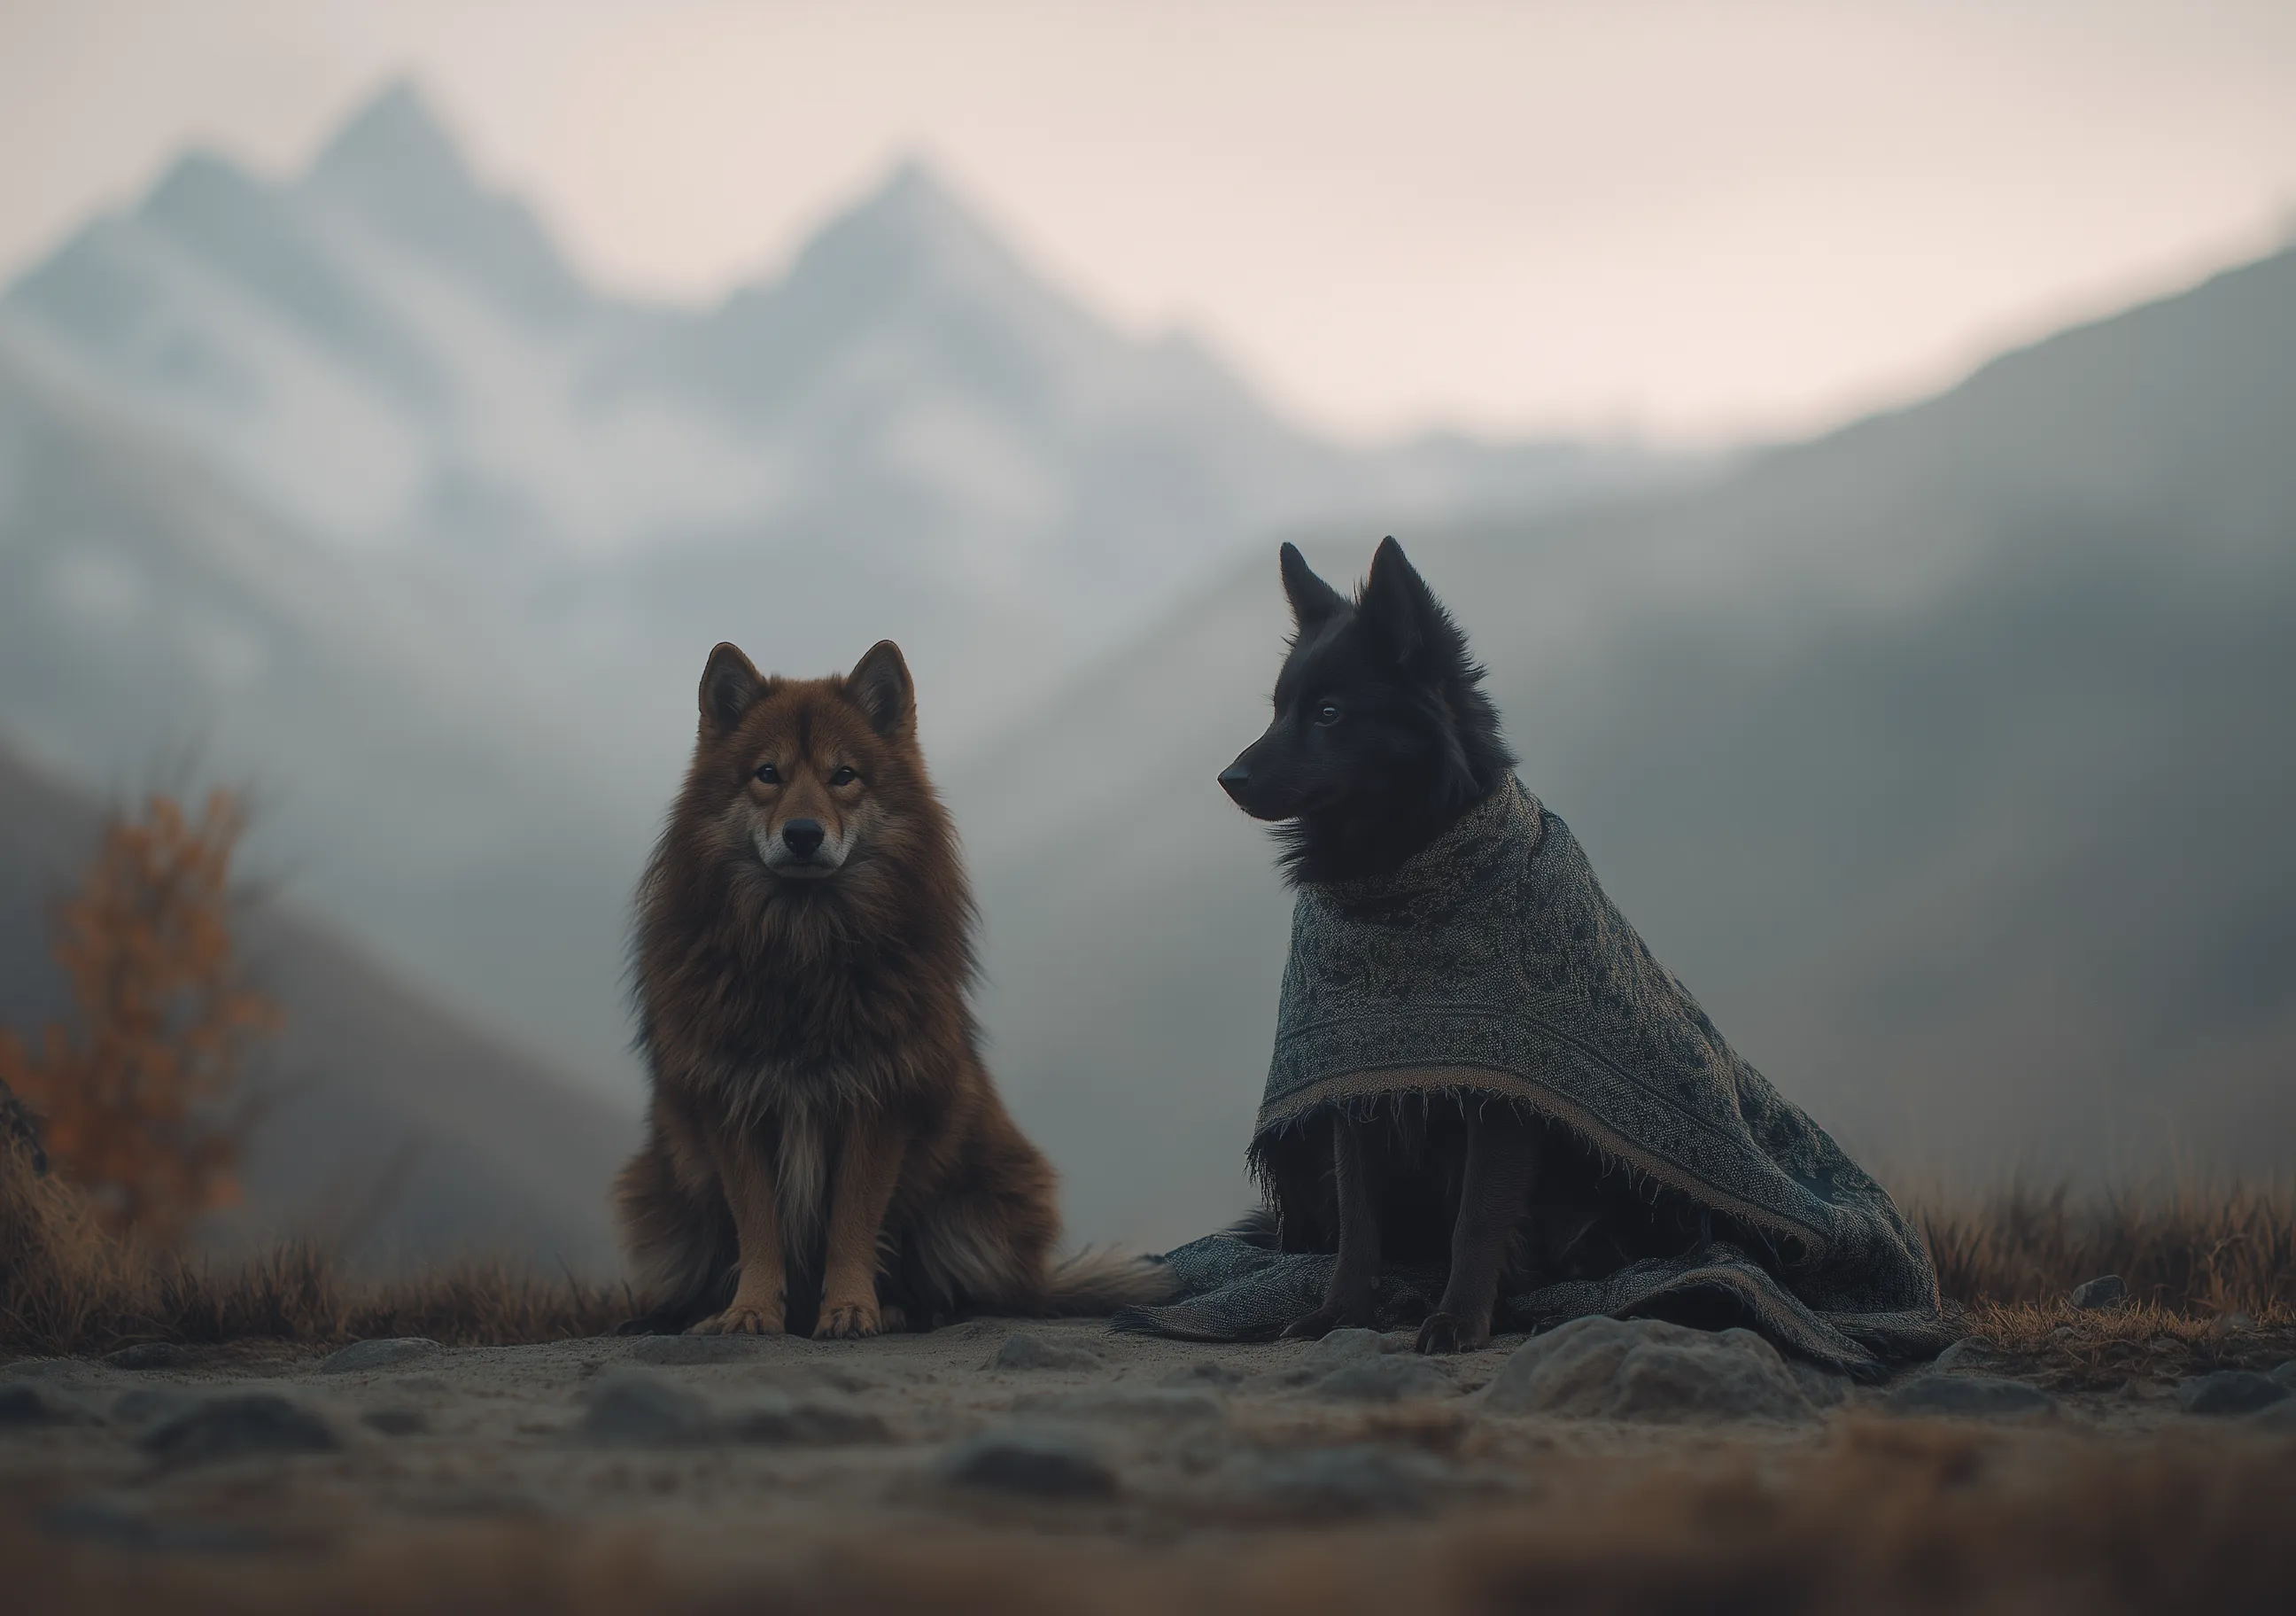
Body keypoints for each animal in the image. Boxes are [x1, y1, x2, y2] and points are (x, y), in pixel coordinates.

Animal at [615, 639, 1169, 1337]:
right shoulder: (734, 1102)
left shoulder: (878, 1099)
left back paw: (910, 1308)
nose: (803, 834)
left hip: (987, 1197)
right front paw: (749, 1310)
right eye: (767, 773)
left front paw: (852, 1307)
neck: (803, 947)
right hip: (657, 1195)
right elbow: (758, 1226)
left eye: (844, 775)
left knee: (980, 1292)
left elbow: (853, 1220)